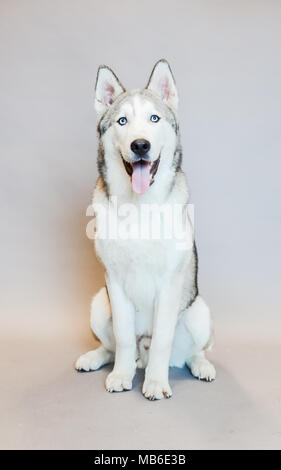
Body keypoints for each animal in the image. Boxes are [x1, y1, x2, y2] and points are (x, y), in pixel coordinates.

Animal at [74, 59, 214, 400]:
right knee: (111, 346)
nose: (140, 145)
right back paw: (96, 358)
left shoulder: (169, 284)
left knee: (191, 351)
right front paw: (121, 376)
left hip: (200, 311)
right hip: (99, 302)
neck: (137, 207)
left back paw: (199, 365)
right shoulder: (114, 283)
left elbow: (163, 338)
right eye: (122, 121)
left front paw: (155, 383)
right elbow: (123, 337)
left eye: (154, 118)